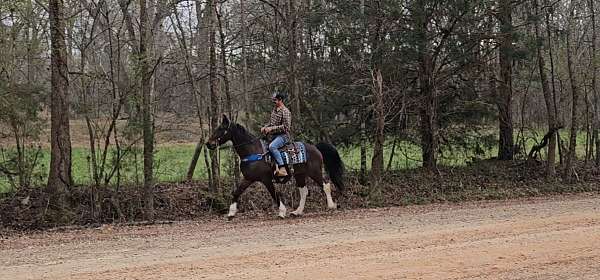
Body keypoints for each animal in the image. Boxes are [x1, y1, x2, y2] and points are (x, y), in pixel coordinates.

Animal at [205, 114, 342, 219]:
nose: (208, 144)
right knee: (304, 191)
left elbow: (274, 194)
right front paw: (231, 213)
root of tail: (315, 147)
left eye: (221, 129)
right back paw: (297, 212)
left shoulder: (266, 179)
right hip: (300, 175)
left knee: (325, 185)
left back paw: (331, 206)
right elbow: (236, 192)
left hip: (314, 172)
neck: (252, 150)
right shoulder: (248, 178)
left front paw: (282, 212)